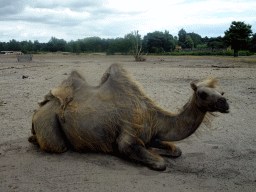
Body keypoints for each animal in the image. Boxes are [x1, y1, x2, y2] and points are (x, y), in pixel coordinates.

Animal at [28, 63, 230, 170]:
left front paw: (157, 150)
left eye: (221, 92)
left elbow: (176, 150)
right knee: (57, 145)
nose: (225, 103)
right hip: (49, 124)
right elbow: (159, 163)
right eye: (202, 93)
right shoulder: (128, 136)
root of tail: (37, 111)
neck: (153, 118)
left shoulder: (150, 134)